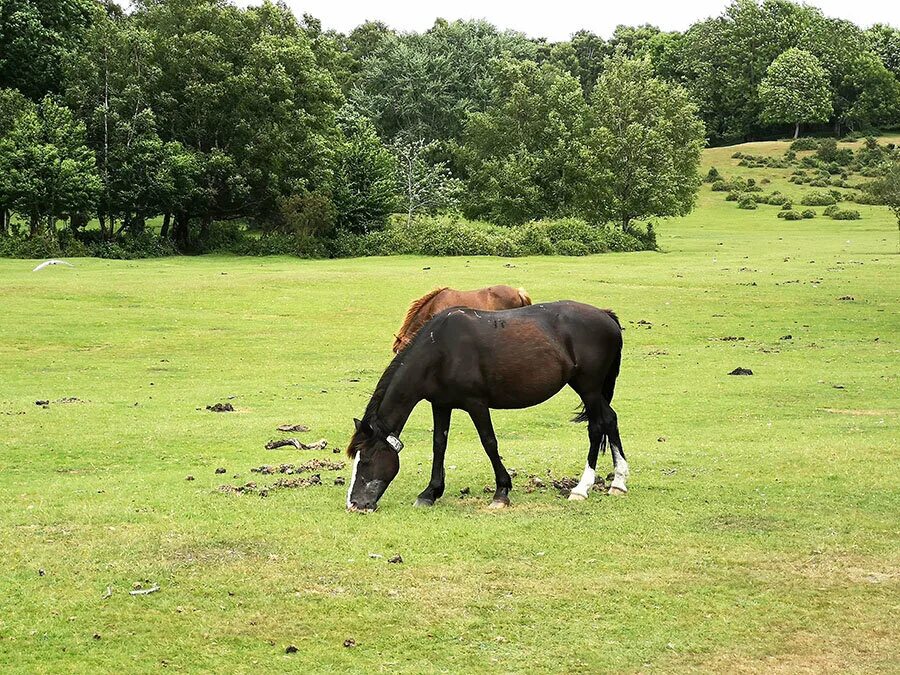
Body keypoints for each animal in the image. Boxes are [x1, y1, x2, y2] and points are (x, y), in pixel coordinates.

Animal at [344, 302, 624, 512]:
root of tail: (606, 316)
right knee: (609, 420)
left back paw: (583, 488)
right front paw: (430, 492)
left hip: (589, 388)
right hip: (591, 390)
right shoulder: (441, 405)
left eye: (366, 460)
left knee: (598, 426)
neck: (440, 350)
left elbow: (489, 442)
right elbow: (439, 444)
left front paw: (501, 492)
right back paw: (618, 483)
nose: (354, 504)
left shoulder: (476, 404)